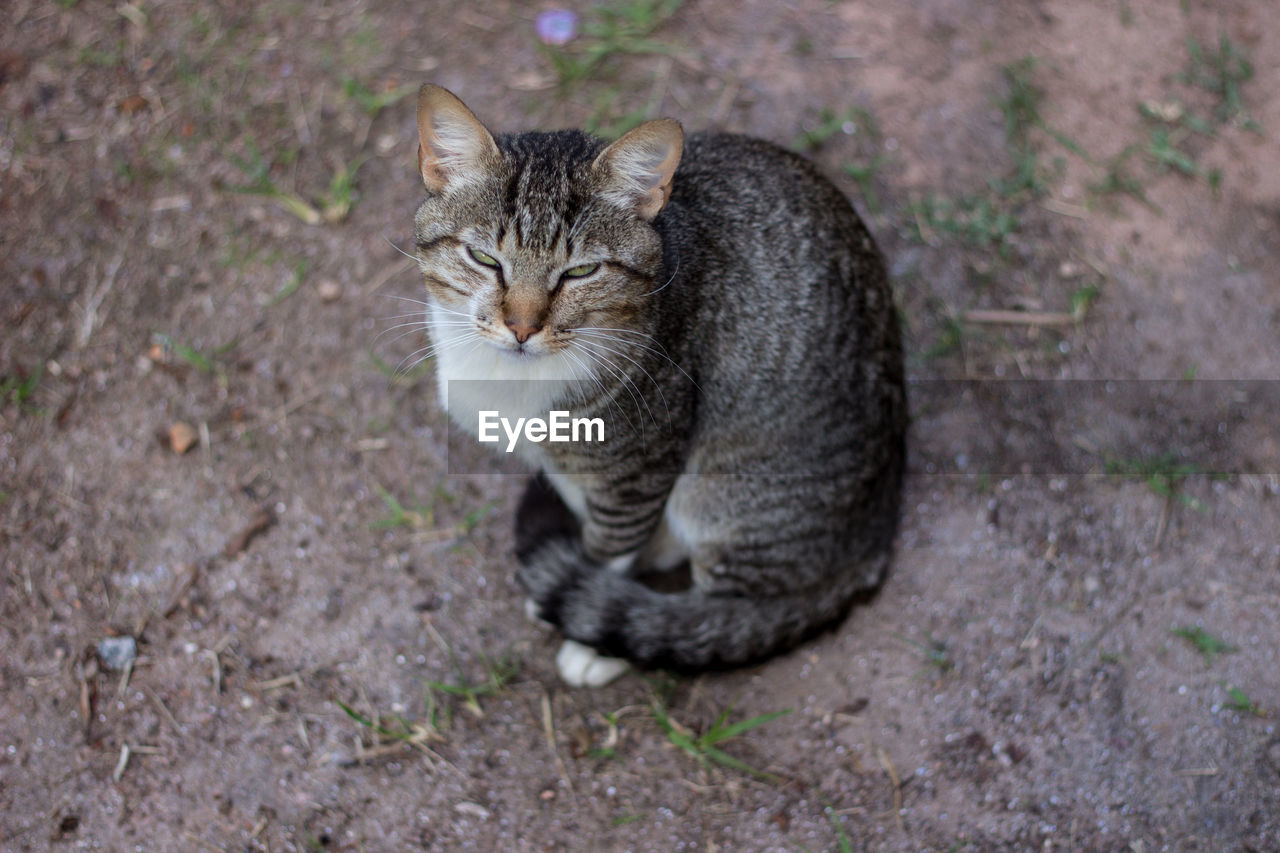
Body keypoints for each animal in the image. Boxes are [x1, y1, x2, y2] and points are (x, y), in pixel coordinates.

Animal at [407, 84, 901, 686]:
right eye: (484, 258)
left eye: (581, 272)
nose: (522, 326)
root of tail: (877, 537)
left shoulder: (639, 468)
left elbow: (609, 546)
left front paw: (593, 626)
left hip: (731, 496)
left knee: (720, 615)